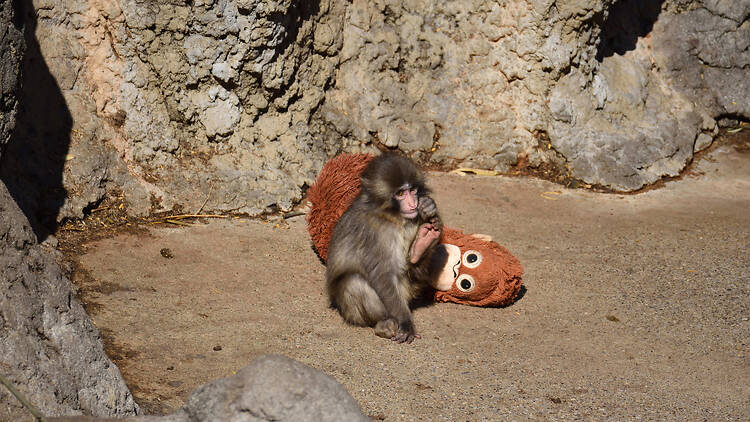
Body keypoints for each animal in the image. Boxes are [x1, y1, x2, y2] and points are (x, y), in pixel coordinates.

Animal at [326, 153, 444, 343]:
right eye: (400, 193)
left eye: (412, 190)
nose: (413, 204)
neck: (391, 216)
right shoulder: (371, 233)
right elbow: (382, 274)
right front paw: (406, 323)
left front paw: (428, 207)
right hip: (352, 312)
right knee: (354, 281)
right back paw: (385, 323)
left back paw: (422, 243)